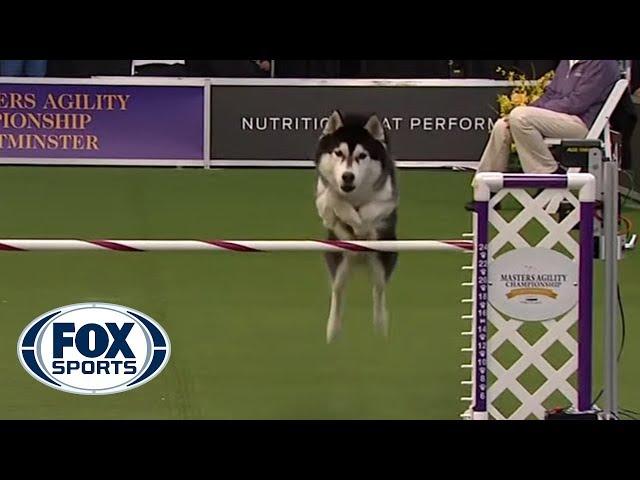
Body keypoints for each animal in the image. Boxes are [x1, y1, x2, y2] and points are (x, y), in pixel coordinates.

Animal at [314, 110, 398, 344]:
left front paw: (362, 226)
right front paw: (349, 217)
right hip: (339, 262)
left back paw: (381, 329)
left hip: (381, 262)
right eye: (338, 153)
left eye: (362, 156)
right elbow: (332, 198)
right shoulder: (322, 197)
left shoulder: (388, 198)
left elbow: (371, 210)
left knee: (379, 292)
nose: (347, 176)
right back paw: (332, 331)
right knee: (338, 292)